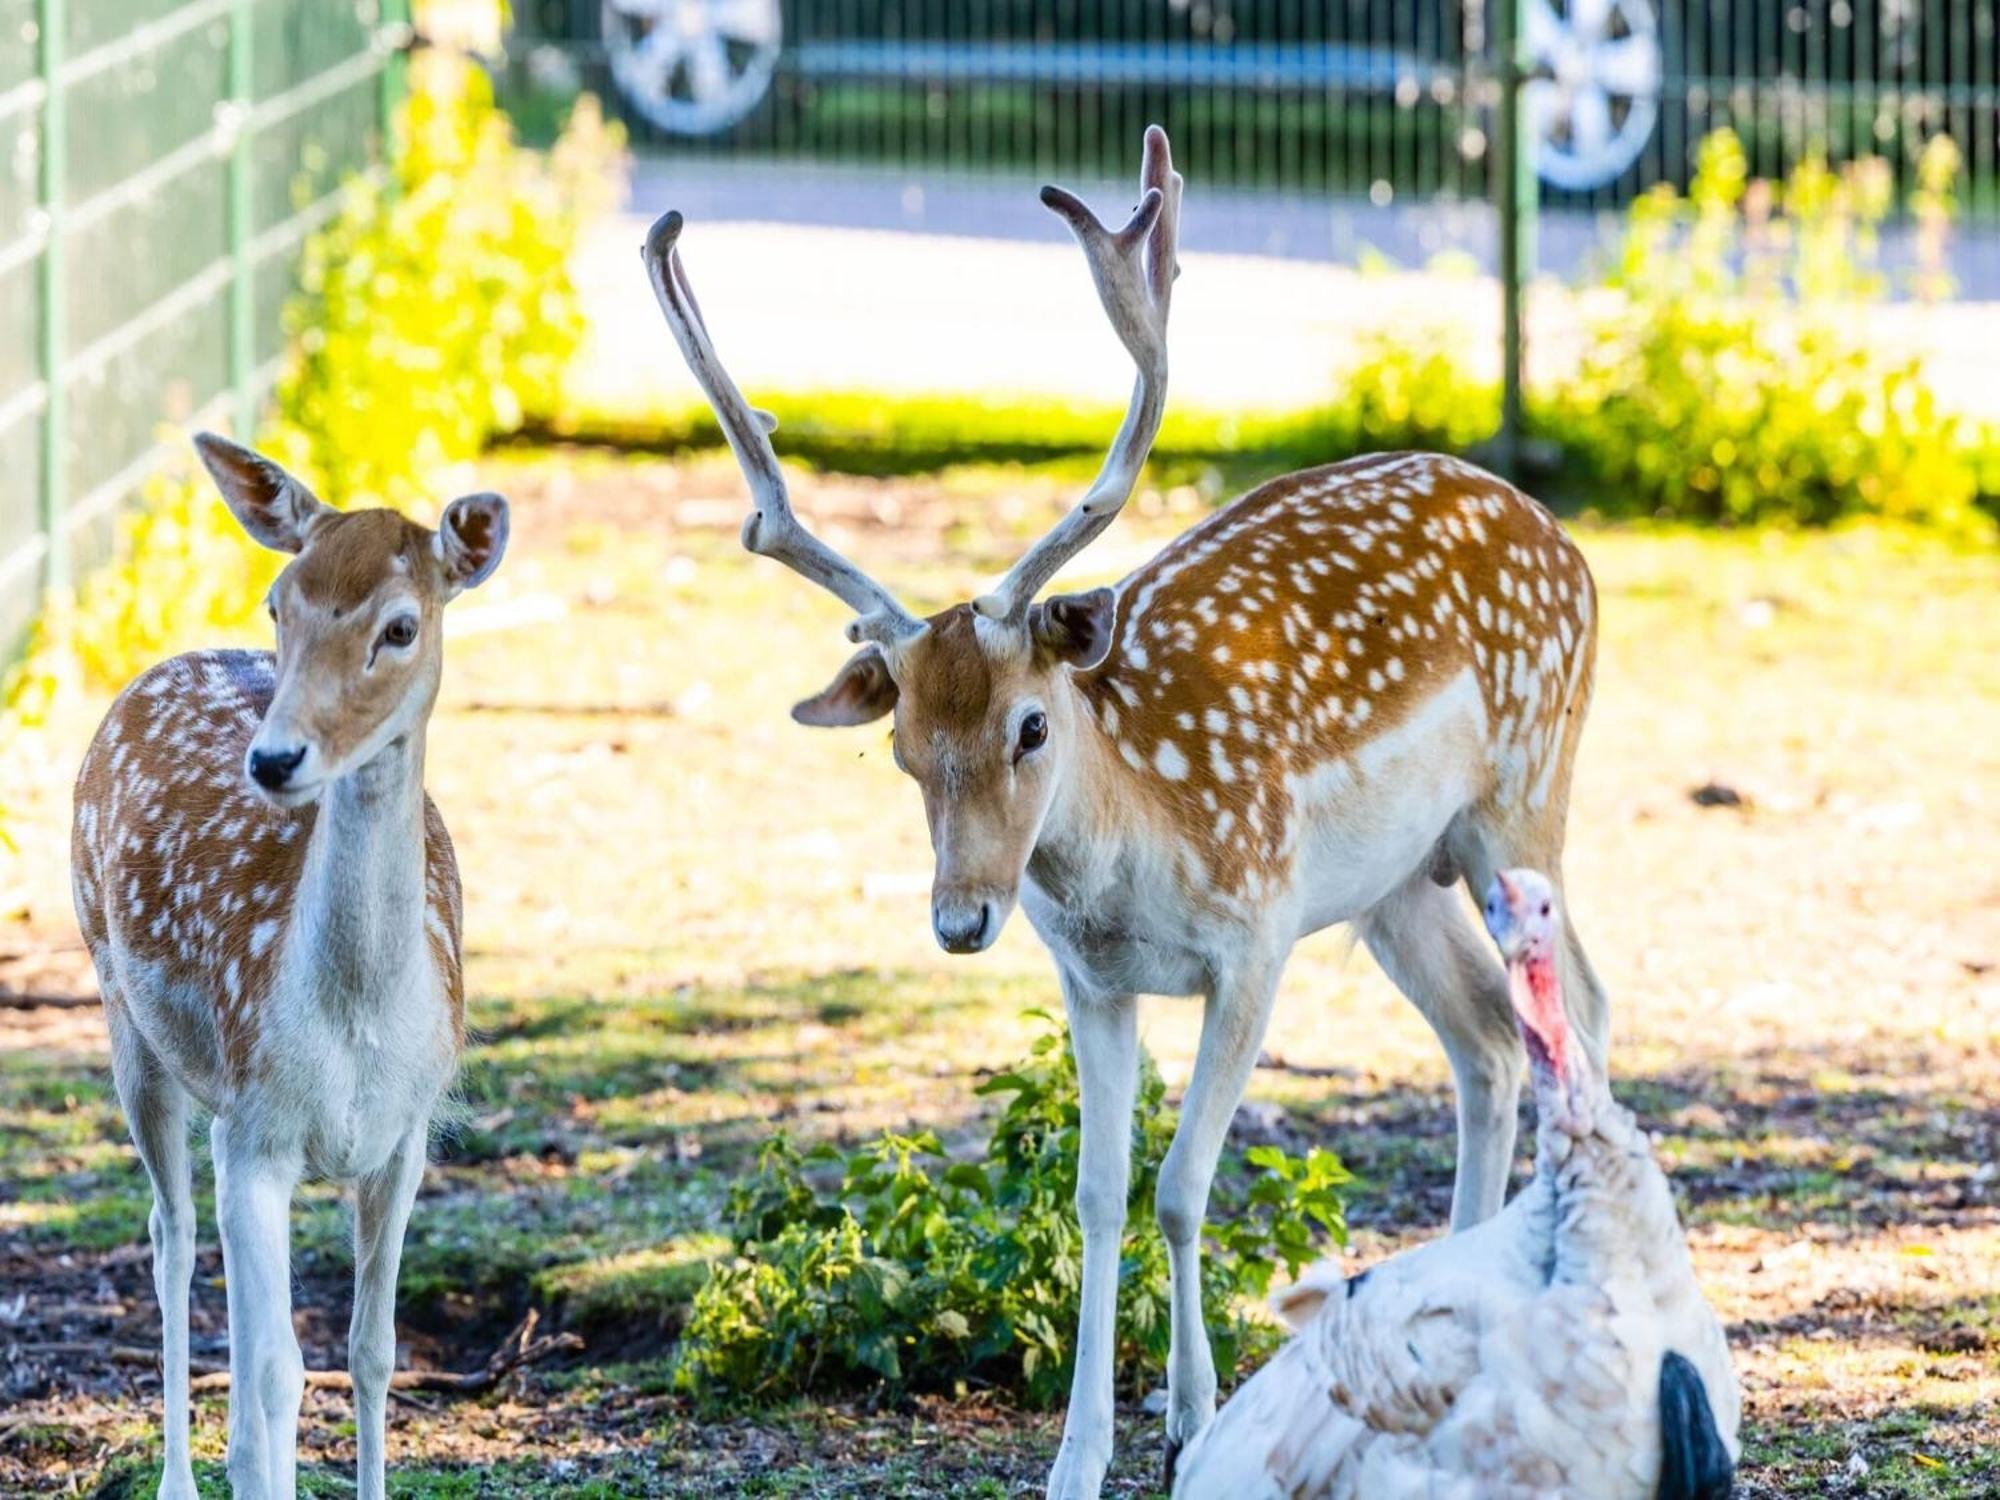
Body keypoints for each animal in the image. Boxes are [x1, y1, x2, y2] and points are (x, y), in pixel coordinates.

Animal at [74, 438, 512, 1500]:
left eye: (399, 626)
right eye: (279, 604)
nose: (274, 759)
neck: (355, 1021)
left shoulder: (405, 1136)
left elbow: (369, 1351)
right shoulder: (254, 1128)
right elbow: (279, 1371)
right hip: (125, 1017)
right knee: (172, 1242)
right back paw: (180, 1480)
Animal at [640, 129, 1608, 1500]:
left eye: (1030, 727)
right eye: (900, 748)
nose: (959, 919)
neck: (1135, 862)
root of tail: (1561, 540)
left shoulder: (1254, 938)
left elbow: (1182, 1184)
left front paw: (1191, 1428)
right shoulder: (1090, 979)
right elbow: (1098, 1194)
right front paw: (1089, 1451)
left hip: (1525, 794)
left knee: (1583, 1004)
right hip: (1389, 889)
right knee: (1482, 1040)